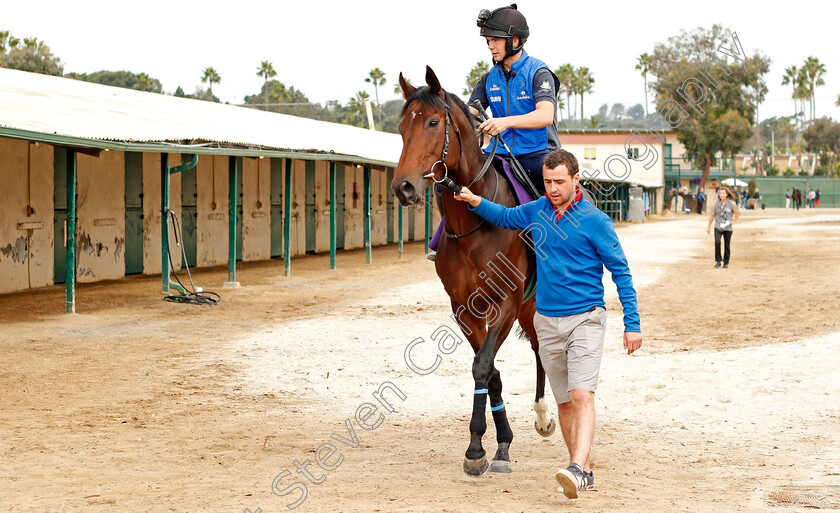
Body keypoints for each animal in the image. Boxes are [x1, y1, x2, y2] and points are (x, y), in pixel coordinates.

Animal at [390, 66, 556, 474]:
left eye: (433, 122)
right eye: (402, 126)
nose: (403, 187)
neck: (475, 223)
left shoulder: (505, 303)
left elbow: (483, 366)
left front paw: (479, 448)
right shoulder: (464, 308)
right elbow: (490, 370)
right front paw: (497, 444)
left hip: (534, 304)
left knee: (543, 348)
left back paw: (547, 415)